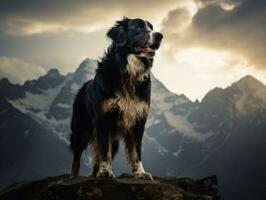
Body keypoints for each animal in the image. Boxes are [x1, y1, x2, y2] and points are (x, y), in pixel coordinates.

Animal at [70, 17, 162, 180]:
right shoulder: (103, 117)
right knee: (77, 158)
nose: (160, 35)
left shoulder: (138, 119)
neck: (128, 72)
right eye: (138, 28)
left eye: (151, 28)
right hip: (81, 130)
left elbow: (136, 151)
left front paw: (140, 173)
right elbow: (104, 149)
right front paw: (106, 172)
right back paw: (74, 176)